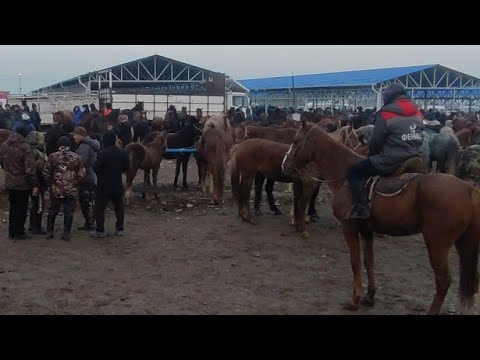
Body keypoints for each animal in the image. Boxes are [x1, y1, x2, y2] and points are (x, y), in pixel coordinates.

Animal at [282, 119, 480, 316]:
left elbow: (355, 262)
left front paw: (355, 300)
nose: (285, 164)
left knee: (443, 280)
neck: (344, 174)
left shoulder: (349, 227)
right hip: (460, 244)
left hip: (437, 244)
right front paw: (369, 296)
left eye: (295, 141)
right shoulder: (366, 230)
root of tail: (469, 189)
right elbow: (369, 262)